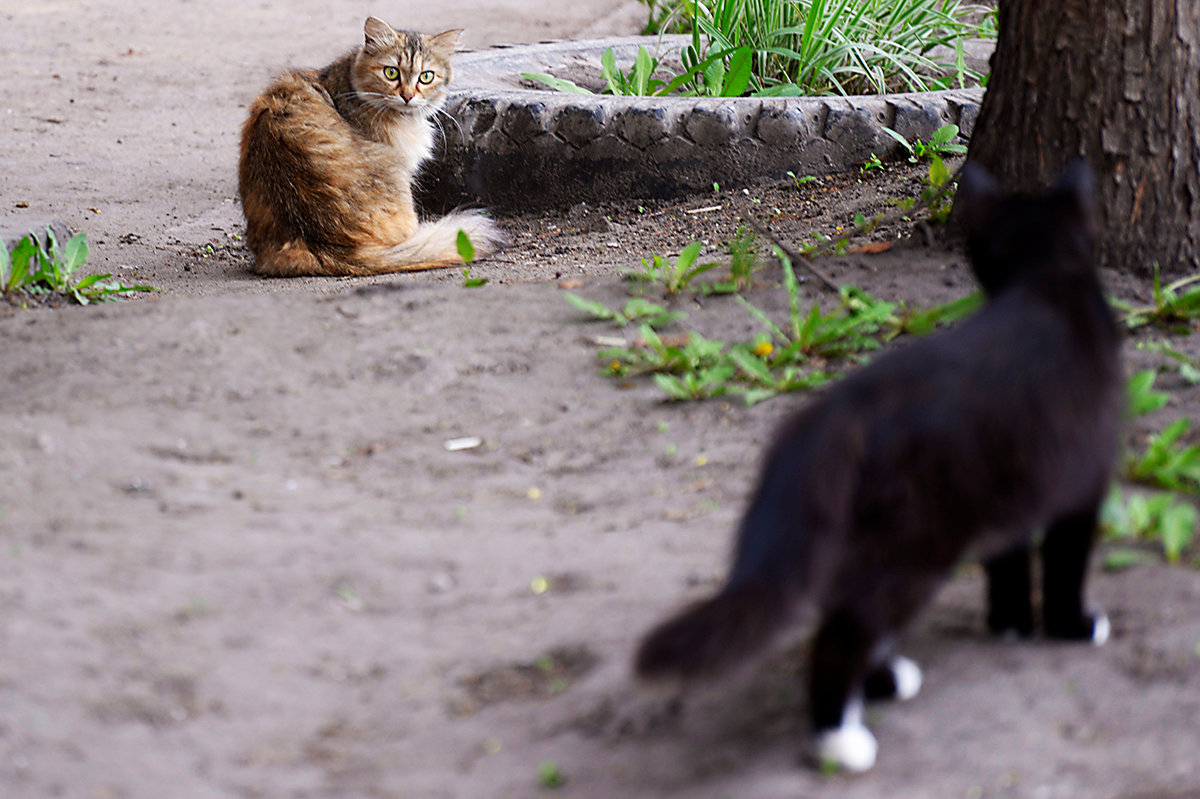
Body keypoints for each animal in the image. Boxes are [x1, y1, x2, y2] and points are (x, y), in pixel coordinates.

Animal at [638, 163, 1123, 772]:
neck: (1044, 278)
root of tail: (839, 409)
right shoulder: (1082, 479)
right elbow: (1065, 563)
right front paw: (1072, 627)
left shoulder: (1011, 480)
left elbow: (1009, 560)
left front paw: (1009, 627)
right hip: (917, 535)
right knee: (846, 629)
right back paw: (840, 739)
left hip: (867, 526)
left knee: (845, 609)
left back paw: (884, 683)